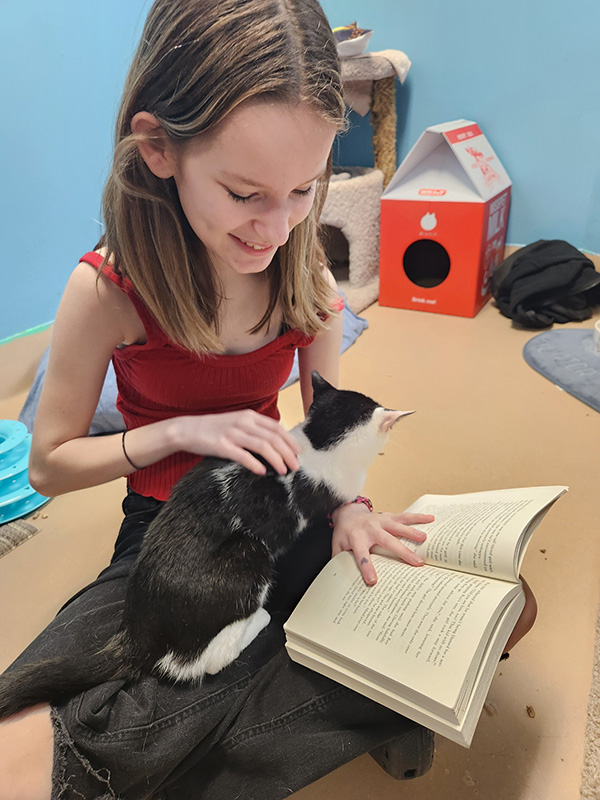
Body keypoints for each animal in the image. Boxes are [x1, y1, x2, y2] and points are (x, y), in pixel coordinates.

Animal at [0, 374, 410, 720]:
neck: (315, 443)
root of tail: (138, 625)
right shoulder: (333, 489)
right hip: (249, 557)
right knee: (195, 663)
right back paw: (259, 621)